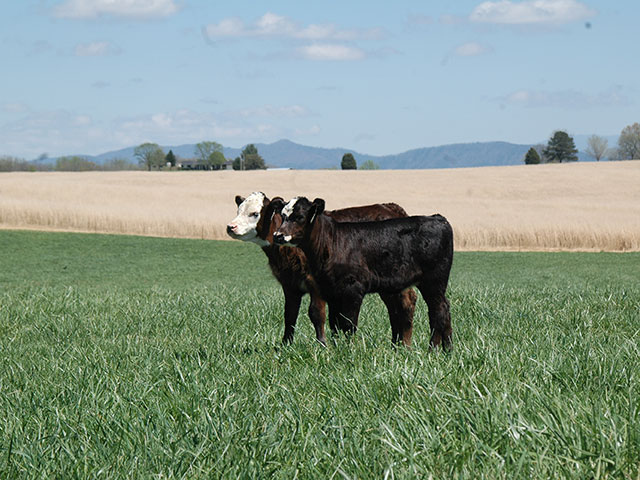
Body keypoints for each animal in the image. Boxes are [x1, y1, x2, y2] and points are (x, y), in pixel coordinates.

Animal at [227, 192, 417, 346]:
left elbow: (317, 313)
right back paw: (395, 344)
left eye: (254, 214)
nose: (230, 227)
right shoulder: (290, 285)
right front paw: (285, 345)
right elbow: (290, 314)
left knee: (407, 302)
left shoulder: (315, 283)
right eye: (238, 211)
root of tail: (390, 207)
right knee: (394, 307)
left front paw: (323, 344)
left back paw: (404, 344)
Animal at [273, 196, 454, 351]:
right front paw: (337, 351)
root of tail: (437, 218)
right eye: (282, 215)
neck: (331, 242)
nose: (278, 235)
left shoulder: (353, 289)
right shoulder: (330, 291)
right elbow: (334, 324)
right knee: (442, 310)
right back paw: (446, 350)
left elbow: (349, 324)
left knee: (438, 311)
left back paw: (434, 350)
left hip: (434, 281)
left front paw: (349, 351)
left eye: (300, 216)